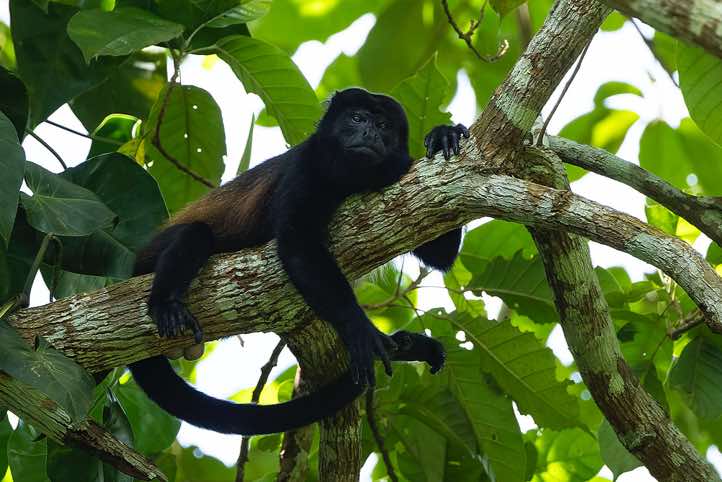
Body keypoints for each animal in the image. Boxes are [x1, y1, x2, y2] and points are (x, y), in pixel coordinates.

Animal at [128, 88, 470, 435]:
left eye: (384, 125)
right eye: (357, 118)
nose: (370, 133)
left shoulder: (399, 168)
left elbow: (438, 253)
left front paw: (443, 134)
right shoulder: (306, 164)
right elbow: (297, 243)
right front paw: (360, 329)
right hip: (150, 256)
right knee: (194, 234)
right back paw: (165, 306)